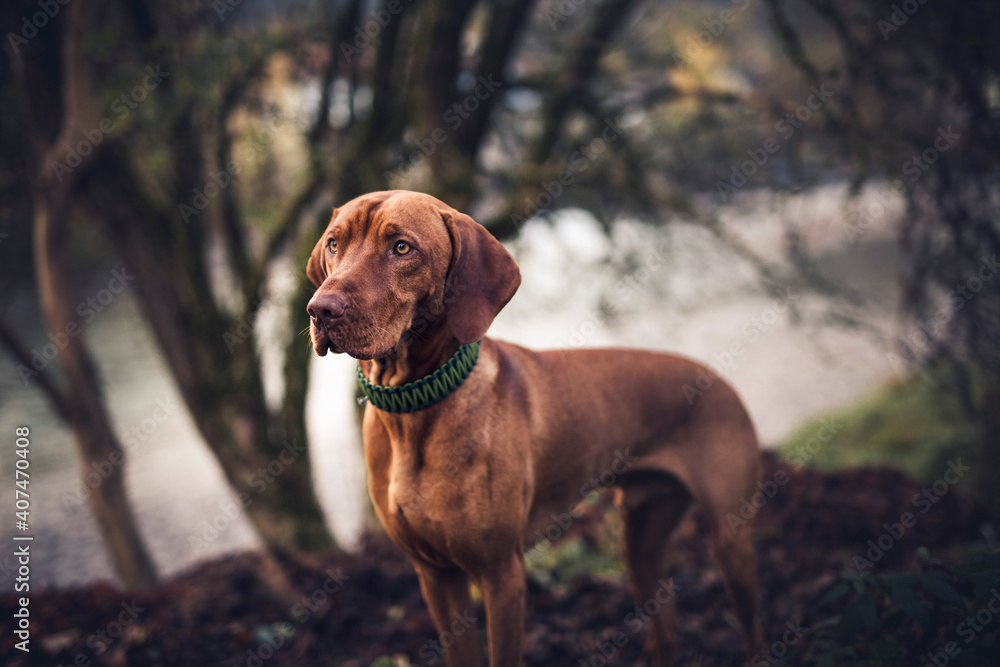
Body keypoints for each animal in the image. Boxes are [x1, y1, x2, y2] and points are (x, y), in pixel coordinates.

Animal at [308, 190, 760, 664]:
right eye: (334, 243)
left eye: (401, 248)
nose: (320, 309)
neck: (414, 410)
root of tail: (719, 379)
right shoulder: (435, 576)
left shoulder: (501, 575)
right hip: (641, 539)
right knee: (666, 631)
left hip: (730, 539)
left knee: (753, 630)